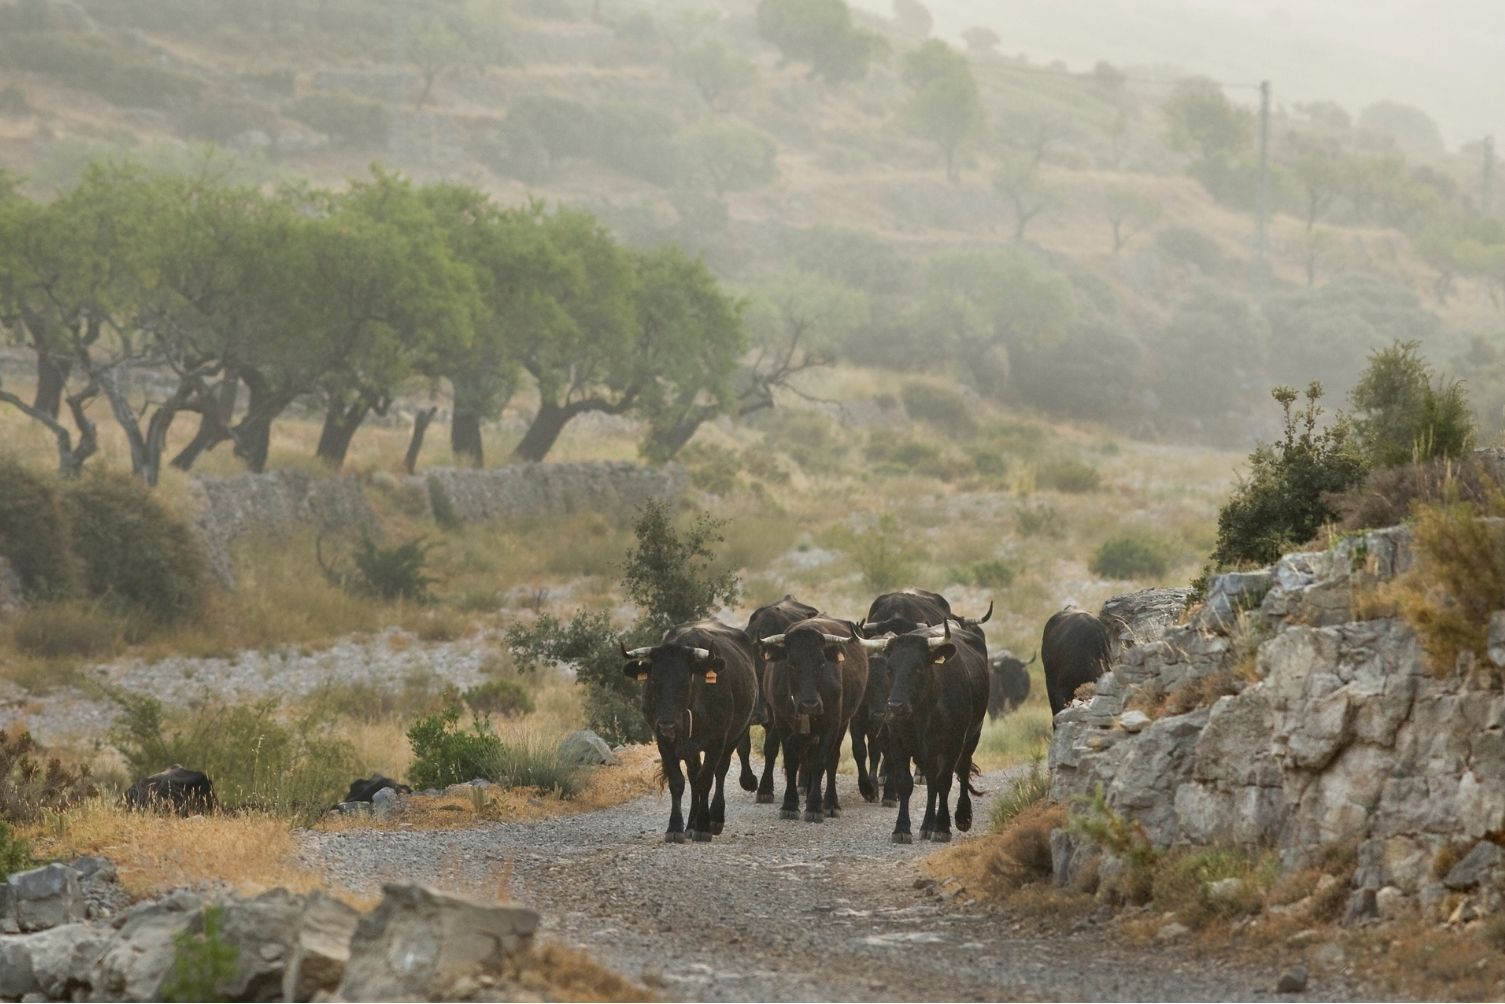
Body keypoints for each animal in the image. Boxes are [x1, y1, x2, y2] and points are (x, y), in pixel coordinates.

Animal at [623, 620, 758, 842]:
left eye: (685, 681)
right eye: (653, 682)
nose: (667, 725)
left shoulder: (716, 742)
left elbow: (706, 780)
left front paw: (703, 826)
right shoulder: (664, 742)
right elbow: (678, 782)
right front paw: (675, 827)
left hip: (735, 735)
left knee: (719, 772)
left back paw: (715, 819)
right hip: (690, 748)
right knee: (694, 776)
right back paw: (690, 825)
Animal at [743, 596, 818, 800]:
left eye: (764, 673)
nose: (756, 714)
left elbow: (770, 747)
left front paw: (764, 789)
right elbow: (744, 745)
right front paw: (749, 781)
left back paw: (803, 784)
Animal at [764, 620, 872, 824]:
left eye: (822, 663)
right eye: (791, 664)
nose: (810, 705)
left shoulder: (831, 724)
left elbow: (820, 762)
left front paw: (814, 807)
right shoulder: (782, 723)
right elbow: (791, 761)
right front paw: (790, 805)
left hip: (842, 724)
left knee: (832, 760)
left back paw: (830, 803)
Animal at [860, 620, 987, 848]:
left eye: (918, 668)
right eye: (890, 669)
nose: (895, 706)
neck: (923, 713)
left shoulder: (952, 746)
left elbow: (944, 783)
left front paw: (942, 827)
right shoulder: (898, 743)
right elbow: (906, 783)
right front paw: (902, 829)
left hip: (973, 735)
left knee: (962, 772)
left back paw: (961, 817)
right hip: (927, 754)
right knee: (931, 784)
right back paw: (927, 825)